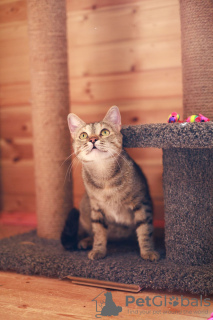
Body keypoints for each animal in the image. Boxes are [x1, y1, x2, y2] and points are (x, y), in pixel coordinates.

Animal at [60, 106, 159, 262]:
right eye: (83, 135)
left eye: (104, 132)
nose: (93, 139)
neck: (104, 178)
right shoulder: (96, 208)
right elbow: (99, 232)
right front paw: (98, 250)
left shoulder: (141, 202)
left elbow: (145, 230)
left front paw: (148, 251)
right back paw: (86, 241)